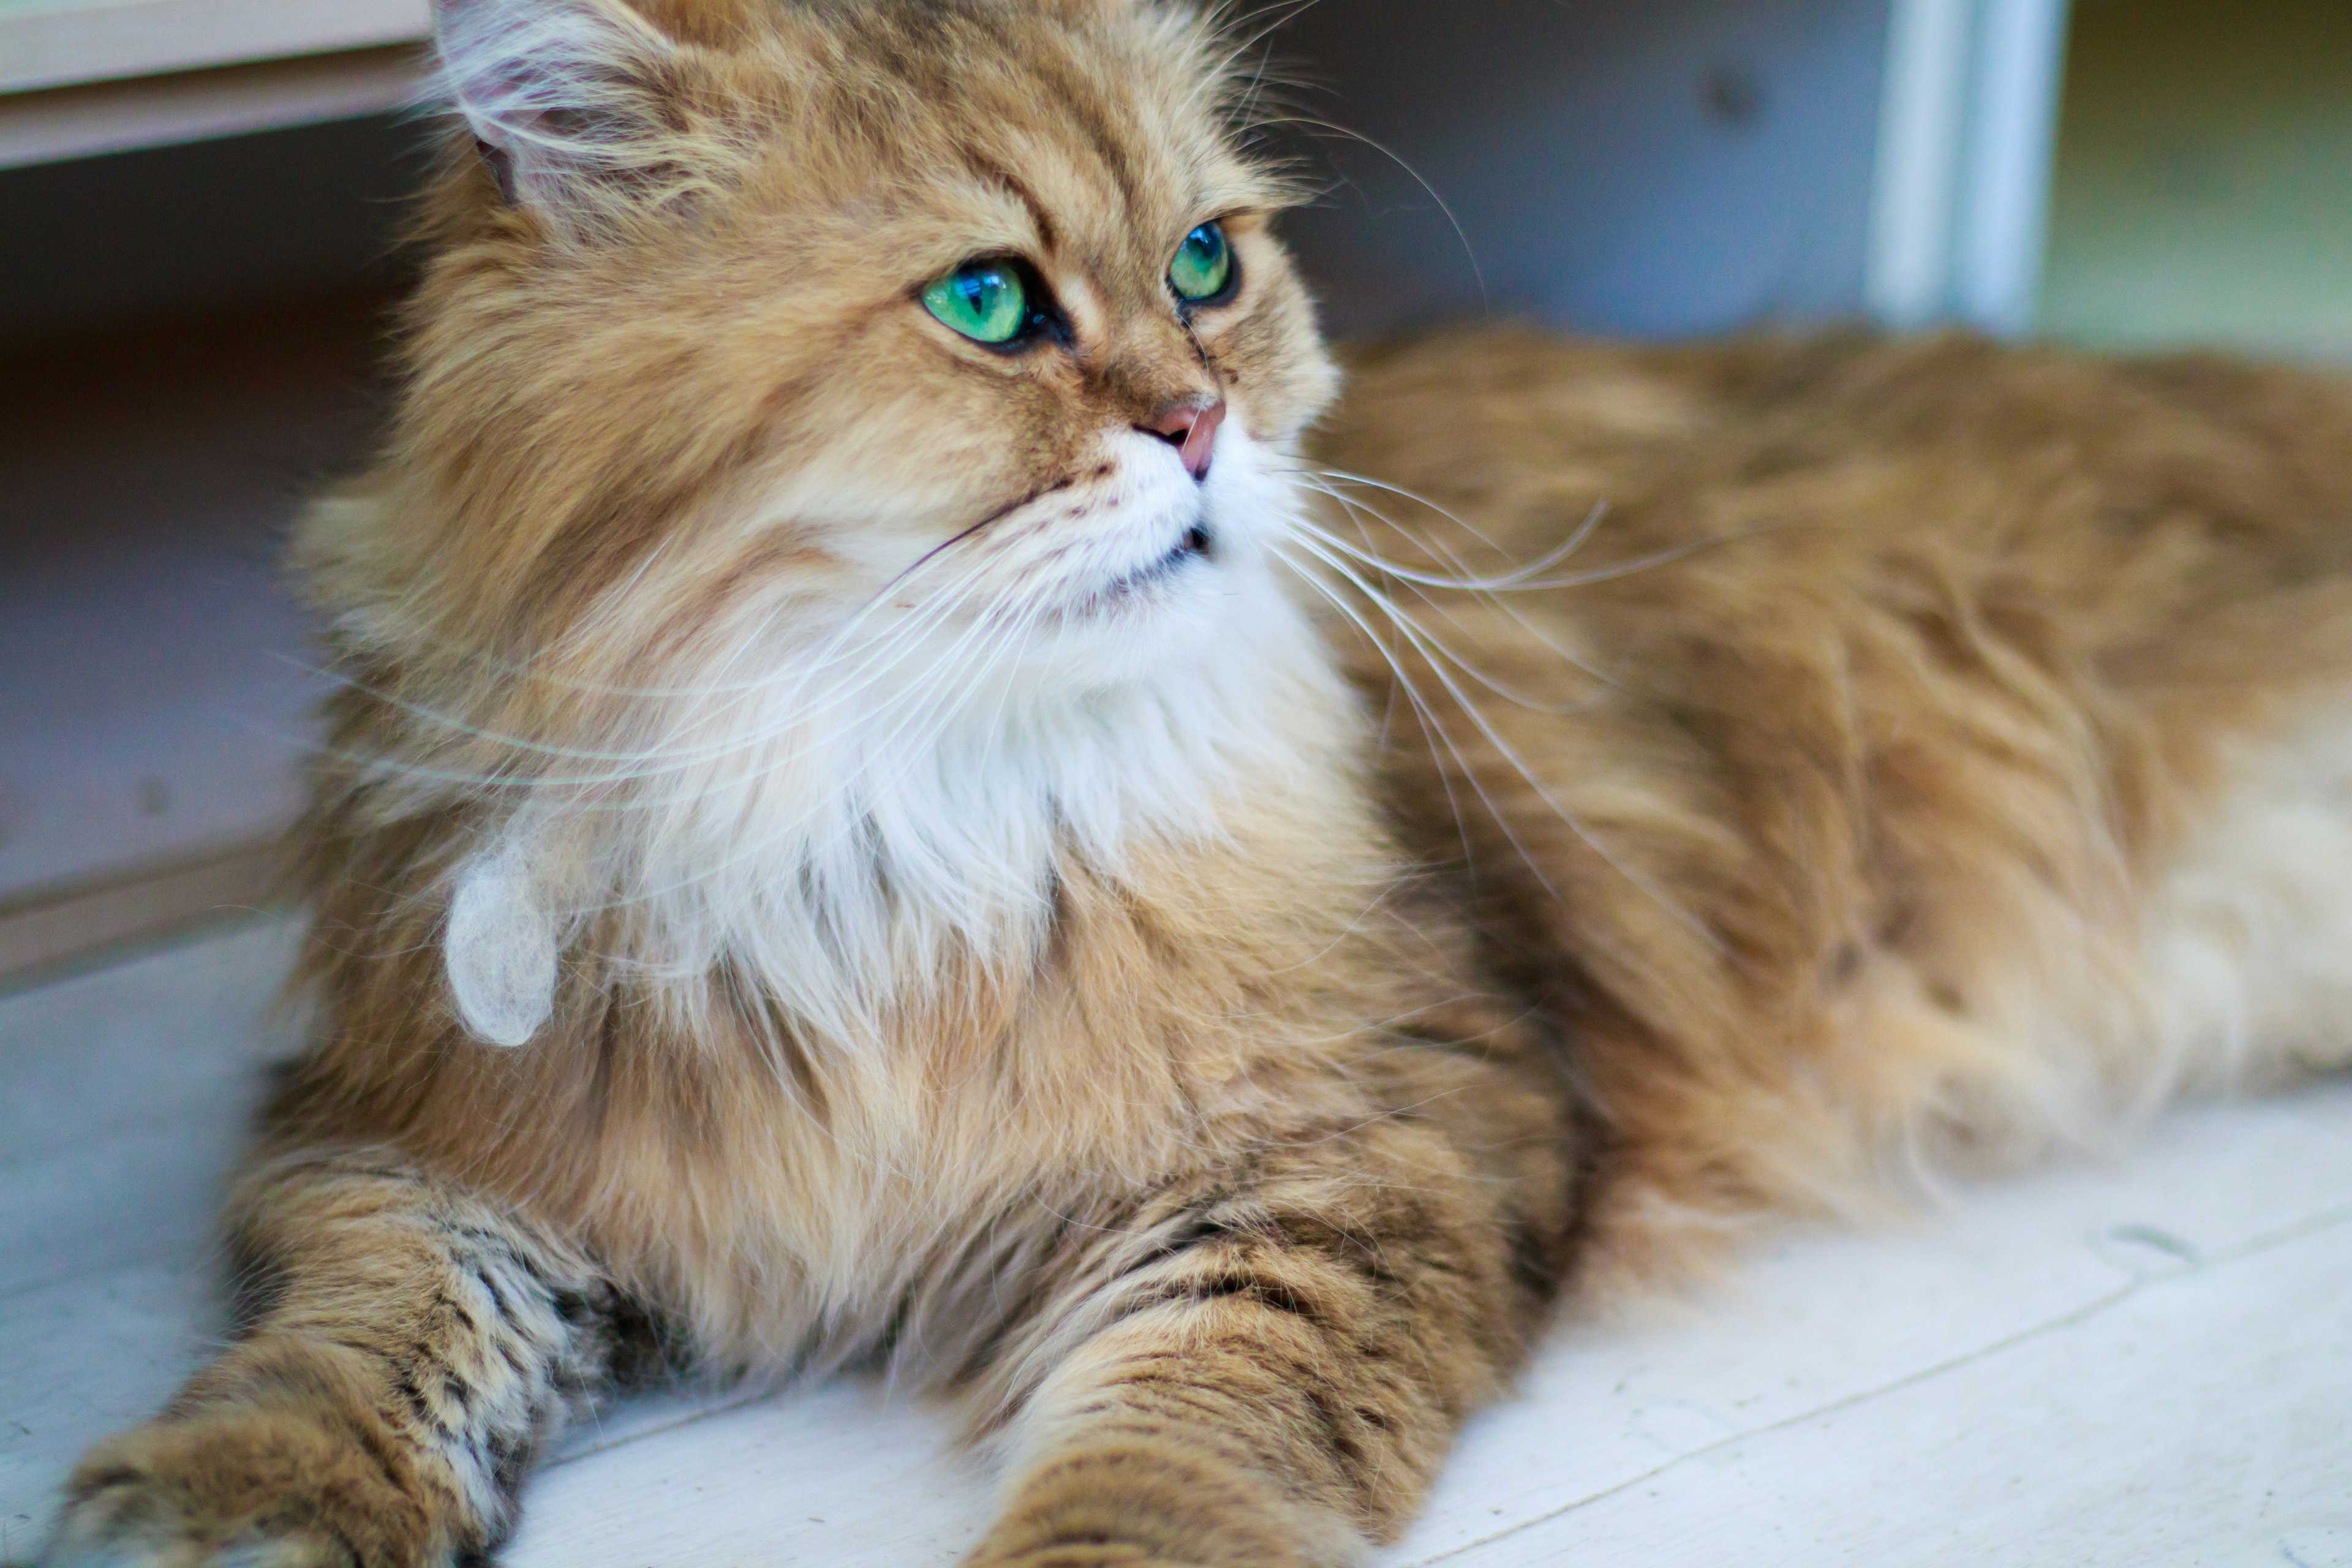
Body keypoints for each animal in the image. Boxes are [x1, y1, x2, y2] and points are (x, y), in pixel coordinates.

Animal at [32, 3, 2352, 1568]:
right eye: (988, 302)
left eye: (1208, 268)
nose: (1205, 423)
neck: (892, 811)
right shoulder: (409, 1134)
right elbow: (364, 1326)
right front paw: (232, 1500)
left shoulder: (1370, 1142)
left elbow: (1169, 1453)